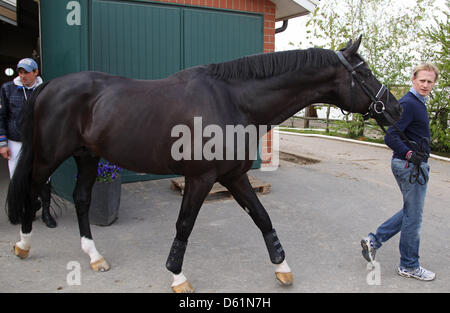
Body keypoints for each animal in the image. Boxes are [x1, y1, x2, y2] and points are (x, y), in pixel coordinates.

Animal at [6, 36, 400, 290]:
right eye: (365, 73)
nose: (394, 109)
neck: (233, 101)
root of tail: (48, 86)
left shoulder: (235, 177)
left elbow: (262, 218)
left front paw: (283, 268)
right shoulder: (200, 179)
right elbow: (184, 225)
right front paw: (177, 276)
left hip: (88, 157)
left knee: (83, 199)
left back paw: (93, 256)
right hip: (50, 156)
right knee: (33, 188)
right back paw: (23, 245)